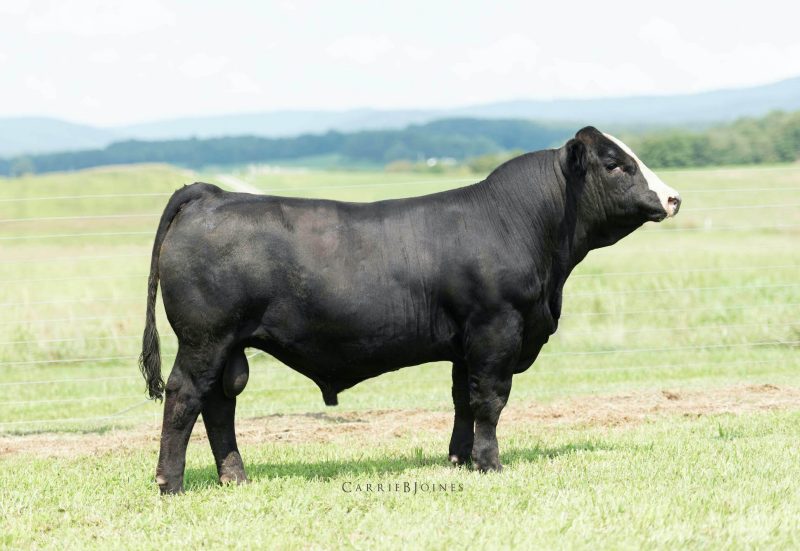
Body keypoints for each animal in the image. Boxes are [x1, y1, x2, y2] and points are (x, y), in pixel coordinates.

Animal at [138, 127, 680, 494]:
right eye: (615, 164)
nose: (673, 197)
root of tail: (212, 194)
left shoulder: (466, 343)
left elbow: (464, 400)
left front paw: (460, 460)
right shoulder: (497, 328)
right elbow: (491, 400)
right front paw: (490, 464)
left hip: (229, 345)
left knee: (219, 402)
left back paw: (235, 477)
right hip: (205, 338)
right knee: (185, 396)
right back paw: (171, 483)